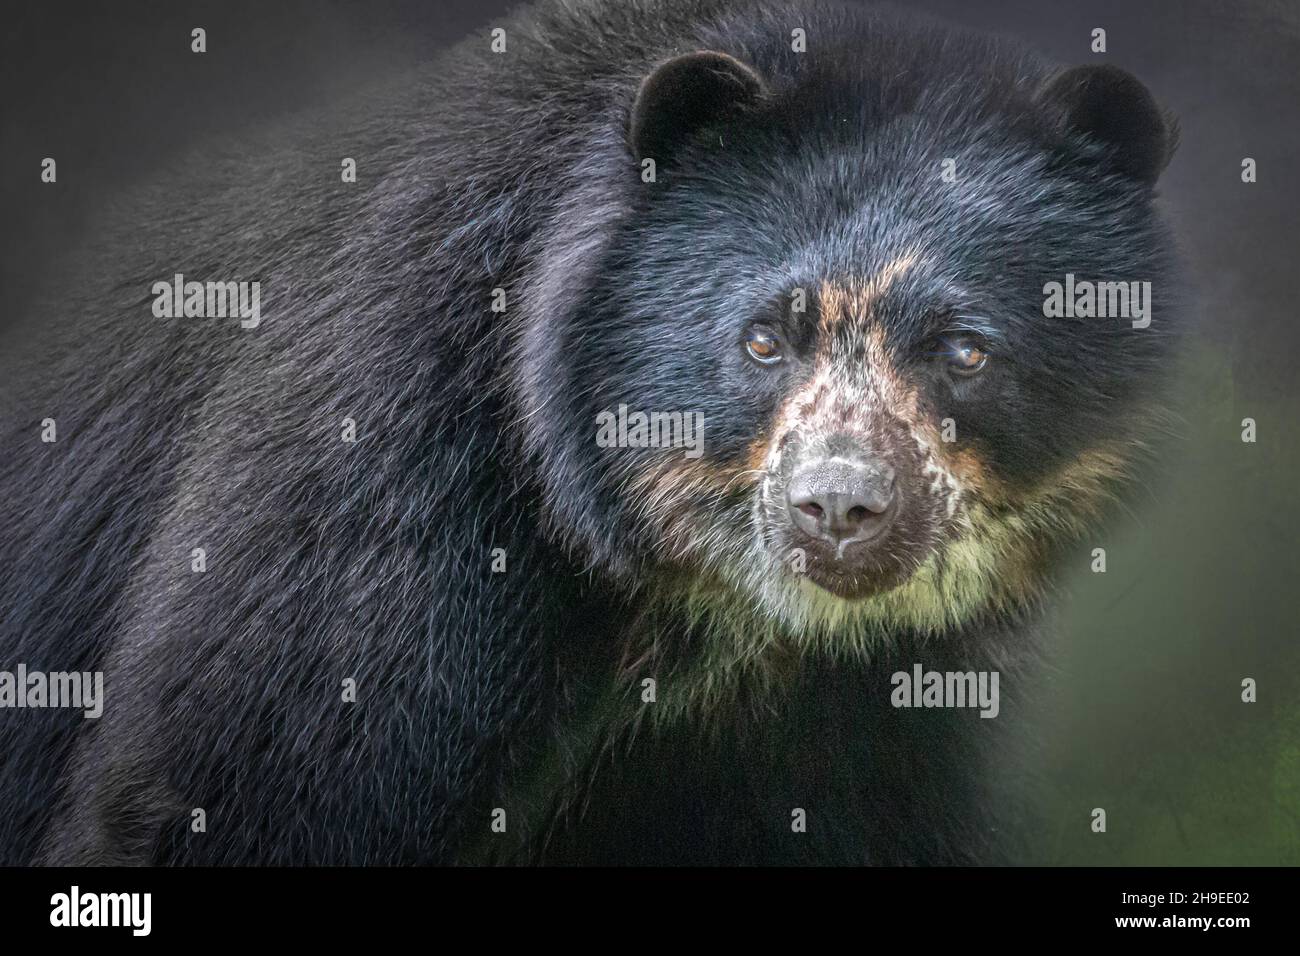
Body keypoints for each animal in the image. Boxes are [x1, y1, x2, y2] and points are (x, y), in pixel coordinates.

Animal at [0, 0, 1180, 868]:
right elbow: (233, 783)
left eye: (963, 350)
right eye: (765, 338)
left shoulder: (863, 710)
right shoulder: (397, 465)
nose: (839, 507)